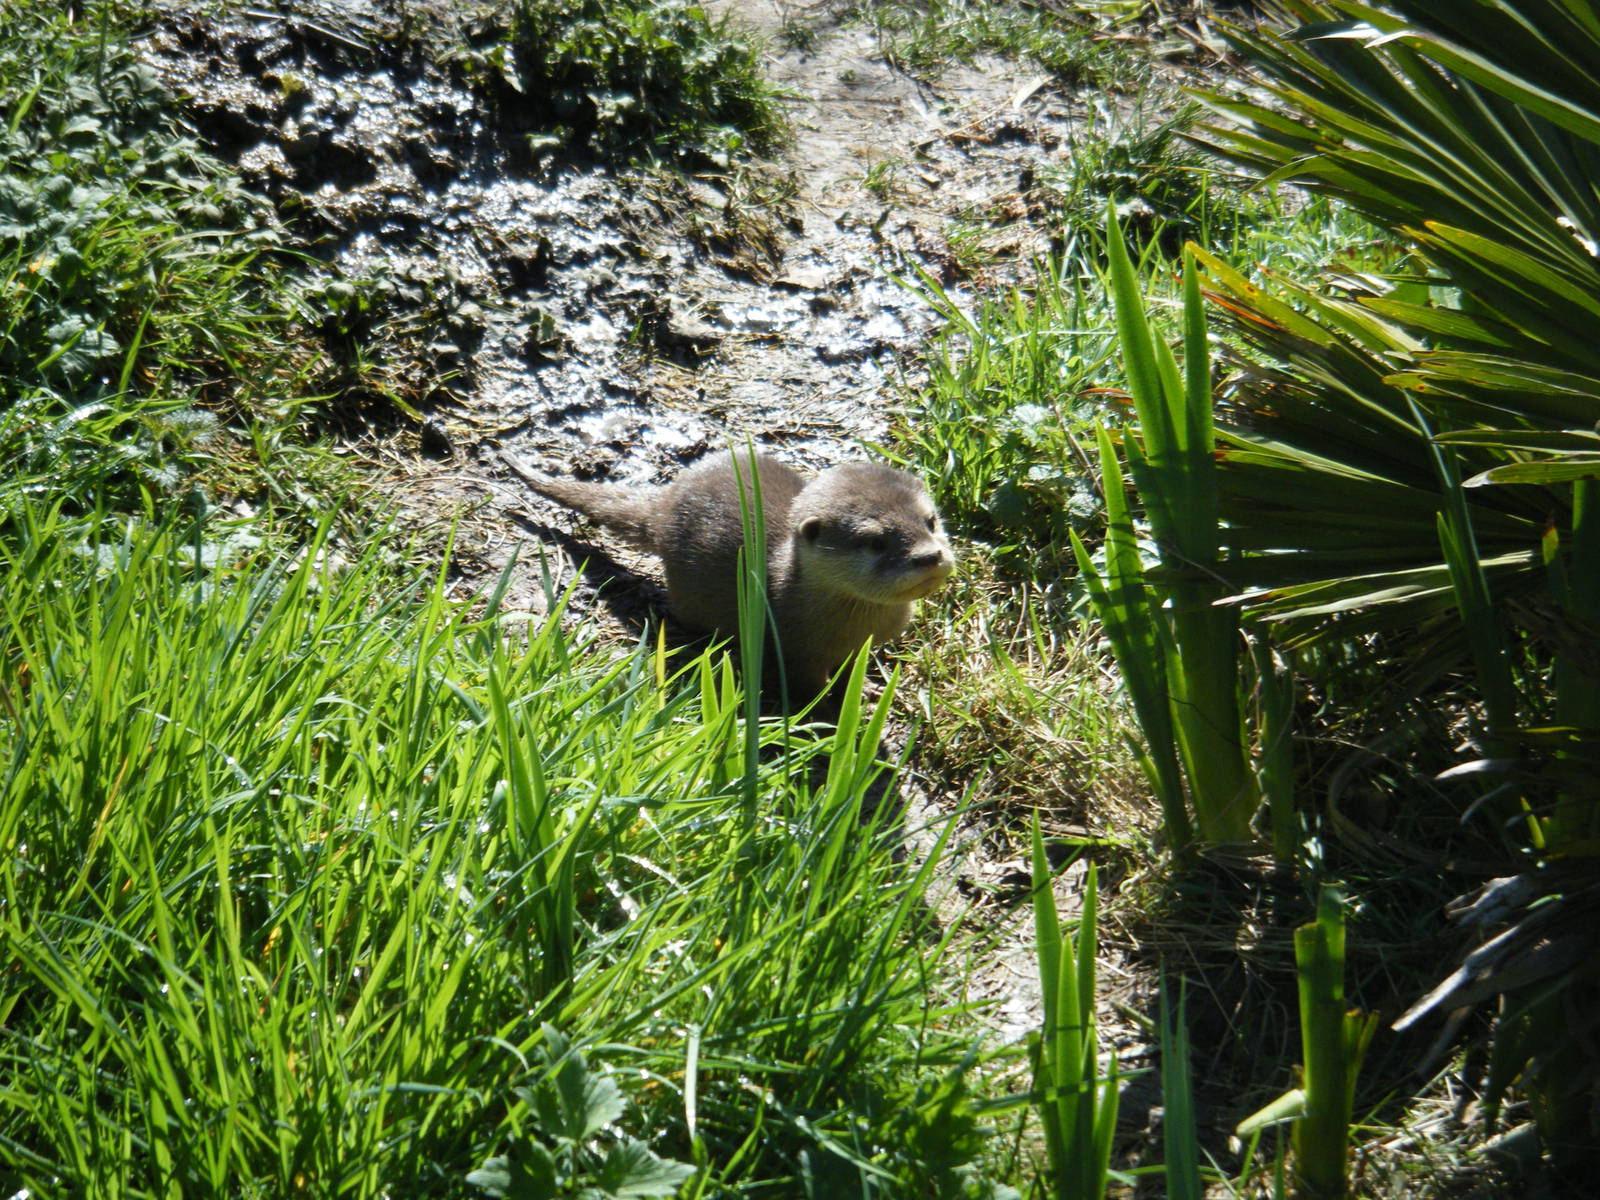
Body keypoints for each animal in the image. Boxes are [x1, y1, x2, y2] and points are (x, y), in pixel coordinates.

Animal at [508, 451, 955, 695]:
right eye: (875, 541)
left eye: (930, 521)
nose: (929, 556)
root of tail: (665, 504)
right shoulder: (796, 650)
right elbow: (810, 685)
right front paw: (831, 708)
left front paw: (870, 683)